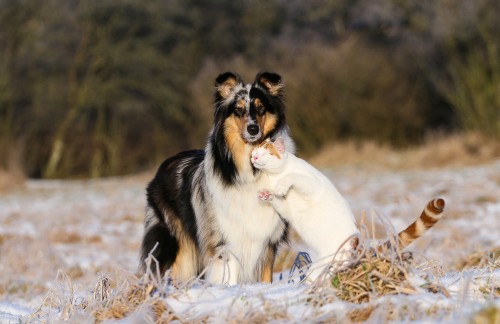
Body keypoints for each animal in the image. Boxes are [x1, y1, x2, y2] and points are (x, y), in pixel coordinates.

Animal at [139, 71, 294, 284]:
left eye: (261, 108)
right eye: (238, 110)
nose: (253, 129)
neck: (249, 169)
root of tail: (165, 164)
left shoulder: (267, 241)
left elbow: (265, 276)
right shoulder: (224, 241)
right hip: (178, 248)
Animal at [252, 138, 358, 280]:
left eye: (263, 153)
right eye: (254, 152)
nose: (254, 157)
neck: (275, 177)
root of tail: (357, 242)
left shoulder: (311, 184)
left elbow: (293, 176)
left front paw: (281, 186)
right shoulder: (287, 210)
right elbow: (278, 201)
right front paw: (266, 195)